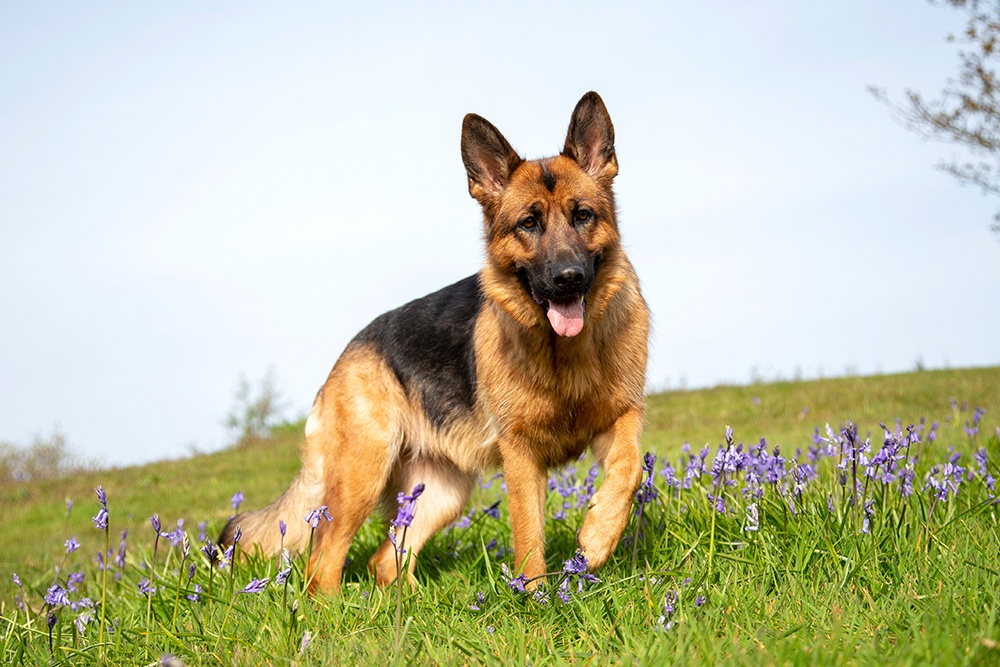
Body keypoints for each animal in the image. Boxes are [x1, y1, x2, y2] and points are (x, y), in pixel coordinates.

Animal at [221, 90, 648, 596]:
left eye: (583, 216)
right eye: (528, 224)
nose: (569, 278)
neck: (565, 353)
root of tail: (346, 354)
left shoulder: (620, 418)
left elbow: (631, 469)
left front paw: (598, 538)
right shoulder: (521, 454)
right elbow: (529, 534)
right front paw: (535, 596)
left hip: (441, 494)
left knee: (385, 561)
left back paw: (405, 606)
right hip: (362, 478)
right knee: (321, 561)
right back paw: (333, 611)